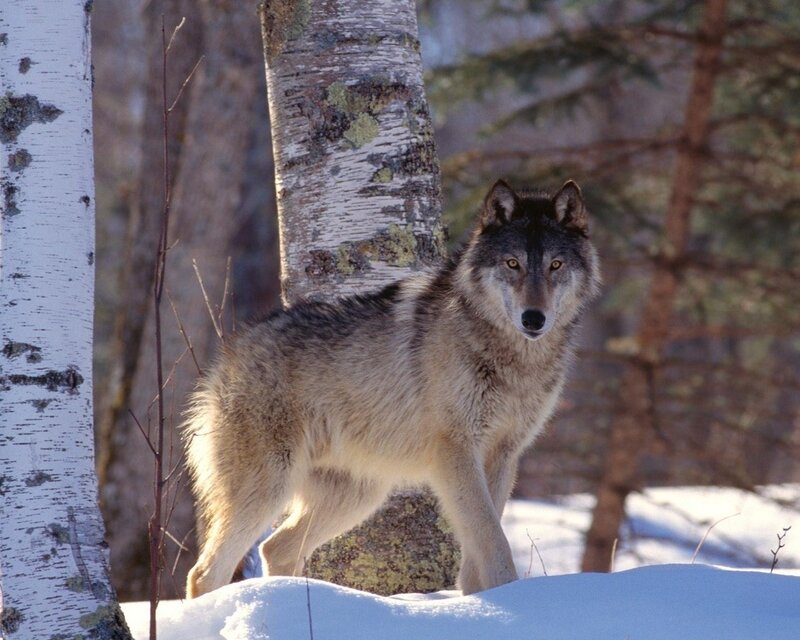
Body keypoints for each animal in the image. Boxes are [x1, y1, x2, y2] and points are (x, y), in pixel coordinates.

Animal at [184, 179, 600, 598]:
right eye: (512, 264)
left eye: (555, 265)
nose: (534, 319)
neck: (513, 360)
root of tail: (226, 356)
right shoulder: (456, 452)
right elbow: (493, 540)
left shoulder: (502, 456)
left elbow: (480, 548)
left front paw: (479, 601)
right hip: (269, 489)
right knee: (204, 573)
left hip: (358, 497)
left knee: (275, 548)